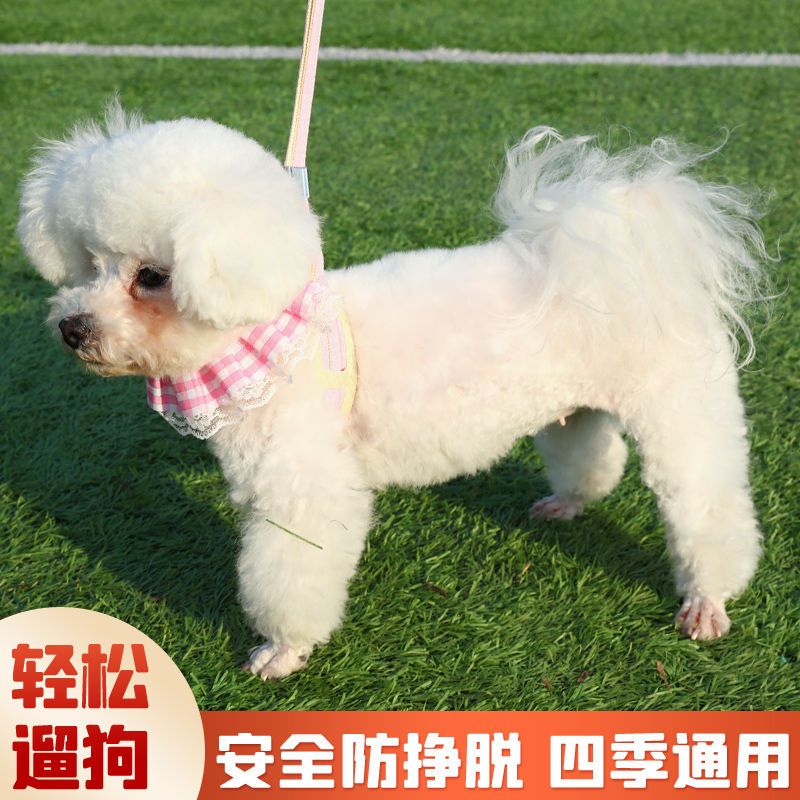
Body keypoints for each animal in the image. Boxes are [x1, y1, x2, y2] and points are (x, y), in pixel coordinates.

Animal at [18, 103, 768, 679]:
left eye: (152, 276)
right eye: (89, 262)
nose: (72, 329)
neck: (271, 338)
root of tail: (625, 249)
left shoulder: (305, 489)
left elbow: (287, 578)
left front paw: (281, 652)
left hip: (681, 411)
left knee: (709, 511)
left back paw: (707, 604)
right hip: (573, 404)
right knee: (593, 456)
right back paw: (567, 503)